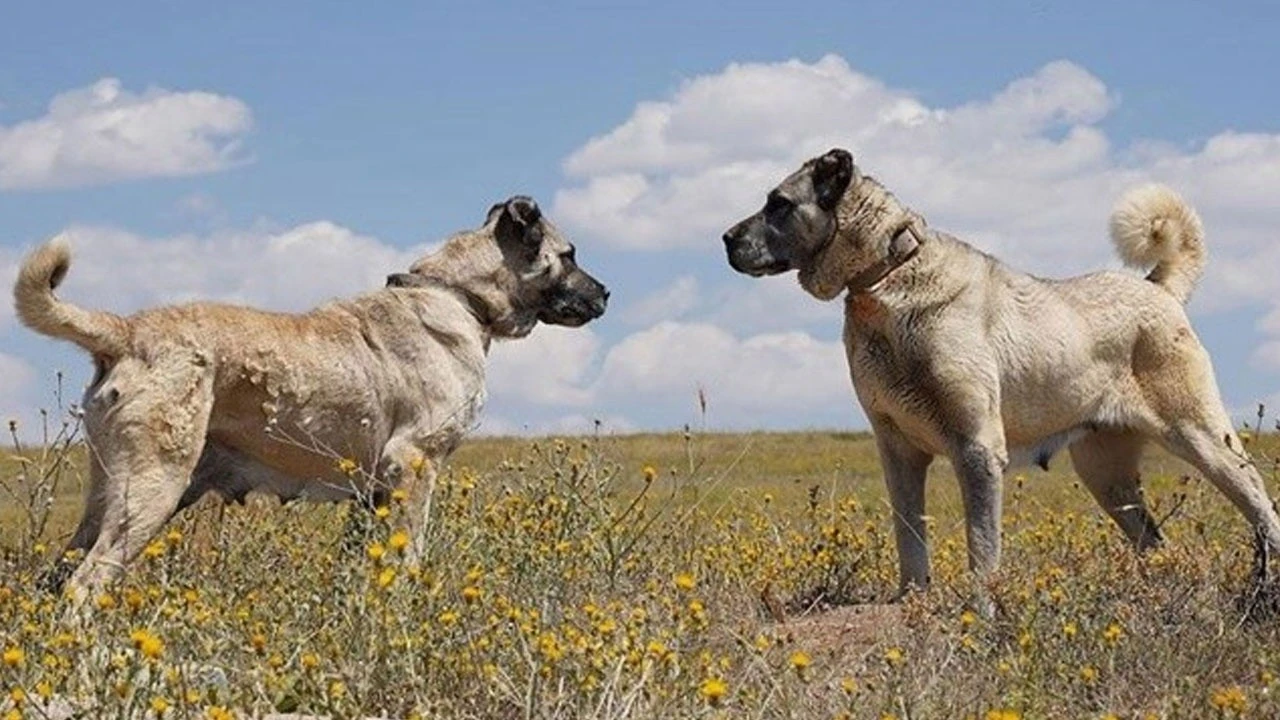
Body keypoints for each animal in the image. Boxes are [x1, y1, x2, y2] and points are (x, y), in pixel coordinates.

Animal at [11, 193, 609, 597]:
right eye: (570, 254)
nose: (607, 292)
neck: (458, 294)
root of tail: (128, 329)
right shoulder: (414, 464)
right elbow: (411, 551)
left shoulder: (375, 489)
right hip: (152, 489)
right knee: (85, 584)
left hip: (109, 495)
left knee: (60, 576)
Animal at [727, 148, 1280, 597]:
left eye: (779, 204)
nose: (726, 237)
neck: (887, 278)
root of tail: (1157, 288)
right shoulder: (898, 451)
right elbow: (910, 538)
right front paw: (913, 602)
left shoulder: (975, 448)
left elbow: (981, 546)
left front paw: (981, 610)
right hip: (1106, 473)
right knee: (1153, 540)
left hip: (1202, 439)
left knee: (1262, 509)